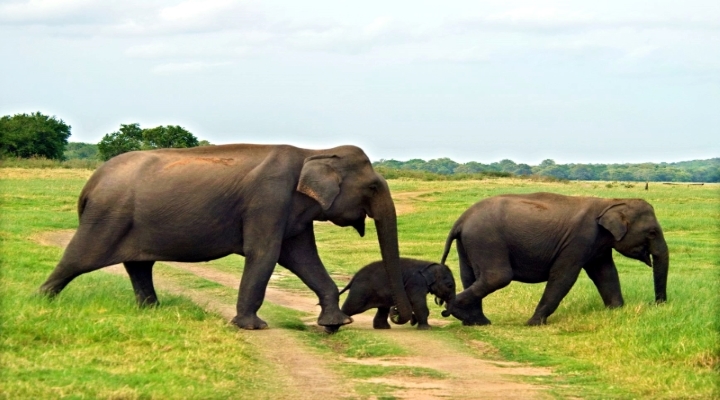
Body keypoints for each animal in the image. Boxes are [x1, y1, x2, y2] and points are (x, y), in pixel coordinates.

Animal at [39, 145, 414, 332]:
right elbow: (265, 253)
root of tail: (90, 183)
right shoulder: (269, 199)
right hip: (107, 217)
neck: (316, 150)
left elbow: (302, 257)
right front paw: (252, 327)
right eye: (372, 187)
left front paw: (335, 325)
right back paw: (41, 302)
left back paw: (153, 311)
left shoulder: (291, 211)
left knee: (139, 266)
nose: (401, 317)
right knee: (78, 259)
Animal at [326, 258, 456, 332]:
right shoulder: (416, 283)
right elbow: (418, 303)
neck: (428, 266)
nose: (443, 311)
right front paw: (427, 329)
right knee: (352, 306)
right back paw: (331, 328)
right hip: (361, 291)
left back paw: (382, 328)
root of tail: (354, 277)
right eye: (450, 285)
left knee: (383, 308)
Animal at [438, 192, 668, 326]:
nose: (655, 304)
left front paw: (616, 311)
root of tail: (461, 220)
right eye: (652, 233)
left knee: (471, 276)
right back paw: (456, 311)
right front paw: (532, 324)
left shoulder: (598, 245)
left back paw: (477, 322)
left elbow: (606, 273)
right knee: (497, 277)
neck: (610, 202)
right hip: (486, 239)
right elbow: (564, 276)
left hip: (469, 242)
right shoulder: (579, 239)